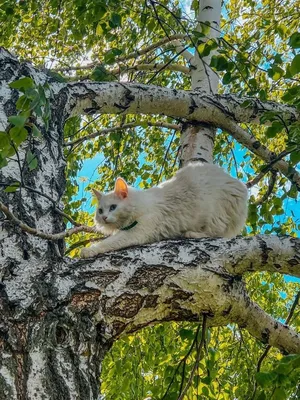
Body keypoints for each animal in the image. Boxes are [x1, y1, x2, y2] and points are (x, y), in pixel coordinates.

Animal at [79, 163, 248, 260]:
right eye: (100, 211)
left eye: (113, 207)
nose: (104, 217)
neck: (139, 204)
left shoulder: (136, 232)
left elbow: (107, 242)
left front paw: (88, 250)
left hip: (214, 212)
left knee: (217, 233)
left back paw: (190, 233)